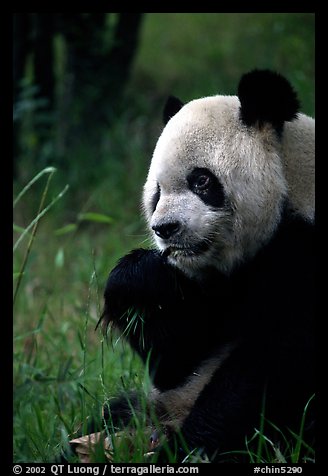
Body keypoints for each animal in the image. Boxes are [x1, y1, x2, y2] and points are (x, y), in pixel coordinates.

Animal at [99, 69, 316, 462]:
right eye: (157, 192)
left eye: (201, 180)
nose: (165, 229)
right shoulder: (221, 287)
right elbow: (180, 358)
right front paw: (138, 280)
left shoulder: (303, 253)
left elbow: (269, 365)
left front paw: (189, 449)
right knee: (117, 410)